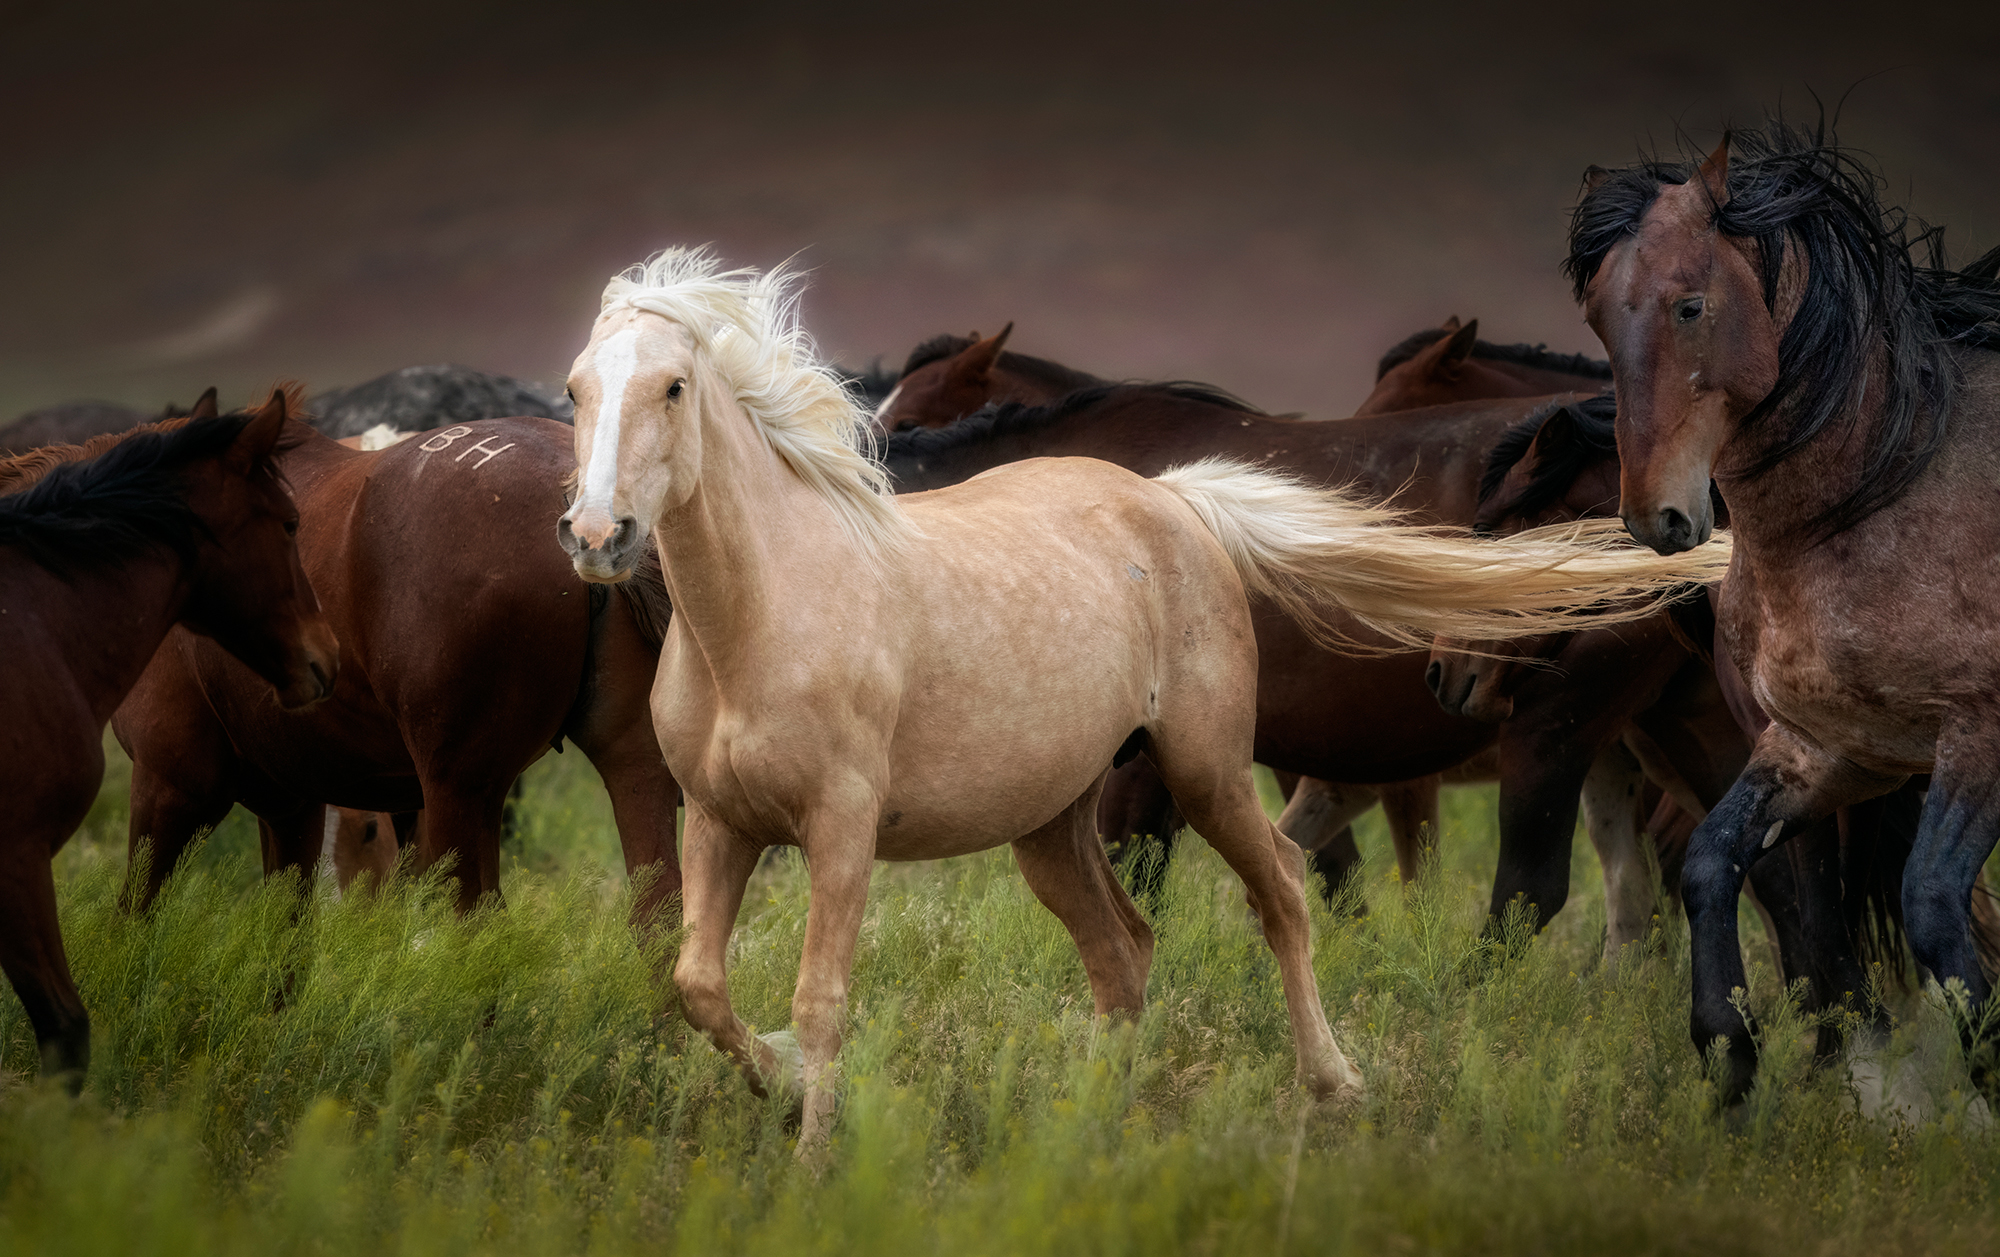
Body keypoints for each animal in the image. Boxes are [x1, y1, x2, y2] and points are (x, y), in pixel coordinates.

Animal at [110, 407, 681, 924]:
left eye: (367, 833)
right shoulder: (300, 801)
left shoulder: (171, 783)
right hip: (628, 767)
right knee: (656, 918)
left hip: (459, 789)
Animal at [555, 249, 1730, 1152]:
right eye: (573, 390)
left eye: (671, 387)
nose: (596, 535)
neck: (765, 615)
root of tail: (1169, 499)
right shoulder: (720, 824)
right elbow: (698, 985)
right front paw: (782, 1084)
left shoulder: (839, 830)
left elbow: (818, 999)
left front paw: (810, 1158)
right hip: (1056, 823)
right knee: (1122, 954)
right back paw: (1090, 1124)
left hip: (1210, 770)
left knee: (1286, 891)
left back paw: (1332, 1086)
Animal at [1568, 119, 2000, 1104]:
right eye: (1600, 315)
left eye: (1689, 306)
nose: (1656, 516)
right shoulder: (1824, 748)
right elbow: (1712, 864)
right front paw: (1730, 1056)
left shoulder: (1980, 738)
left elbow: (1932, 907)